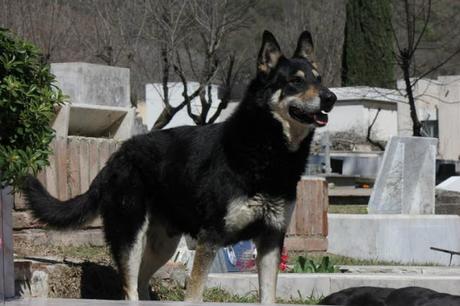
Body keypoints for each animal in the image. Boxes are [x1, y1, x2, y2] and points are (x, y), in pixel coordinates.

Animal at [22, 29, 338, 302]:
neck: (266, 149)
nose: (331, 97)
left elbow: (268, 296)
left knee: (141, 280)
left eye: (319, 78)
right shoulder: (211, 238)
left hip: (164, 243)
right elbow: (194, 294)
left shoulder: (271, 239)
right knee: (130, 288)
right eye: (296, 81)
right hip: (130, 236)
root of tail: (117, 156)